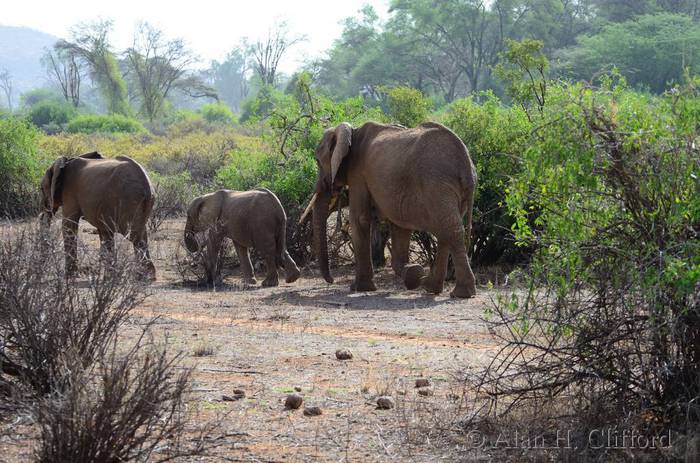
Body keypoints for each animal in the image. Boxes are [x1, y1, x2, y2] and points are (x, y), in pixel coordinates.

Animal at [307, 121, 477, 298]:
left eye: (318, 161)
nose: (331, 280)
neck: (352, 131)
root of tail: (466, 163)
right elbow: (400, 224)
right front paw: (412, 273)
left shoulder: (357, 172)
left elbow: (360, 218)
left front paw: (359, 288)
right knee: (445, 230)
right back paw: (431, 288)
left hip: (437, 183)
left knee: (450, 230)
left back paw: (461, 293)